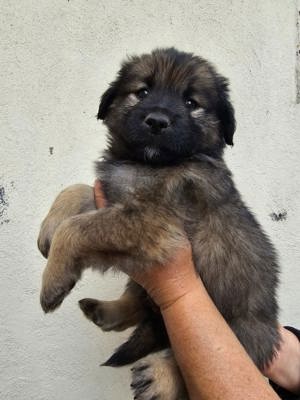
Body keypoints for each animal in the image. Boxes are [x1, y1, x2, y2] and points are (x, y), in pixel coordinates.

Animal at [38, 49, 280, 400]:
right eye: (142, 92)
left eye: (191, 103)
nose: (156, 121)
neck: (149, 164)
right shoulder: (114, 197)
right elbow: (76, 190)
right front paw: (48, 231)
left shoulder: (152, 224)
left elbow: (77, 228)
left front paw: (53, 281)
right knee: (141, 305)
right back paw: (104, 310)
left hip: (243, 331)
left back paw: (160, 376)